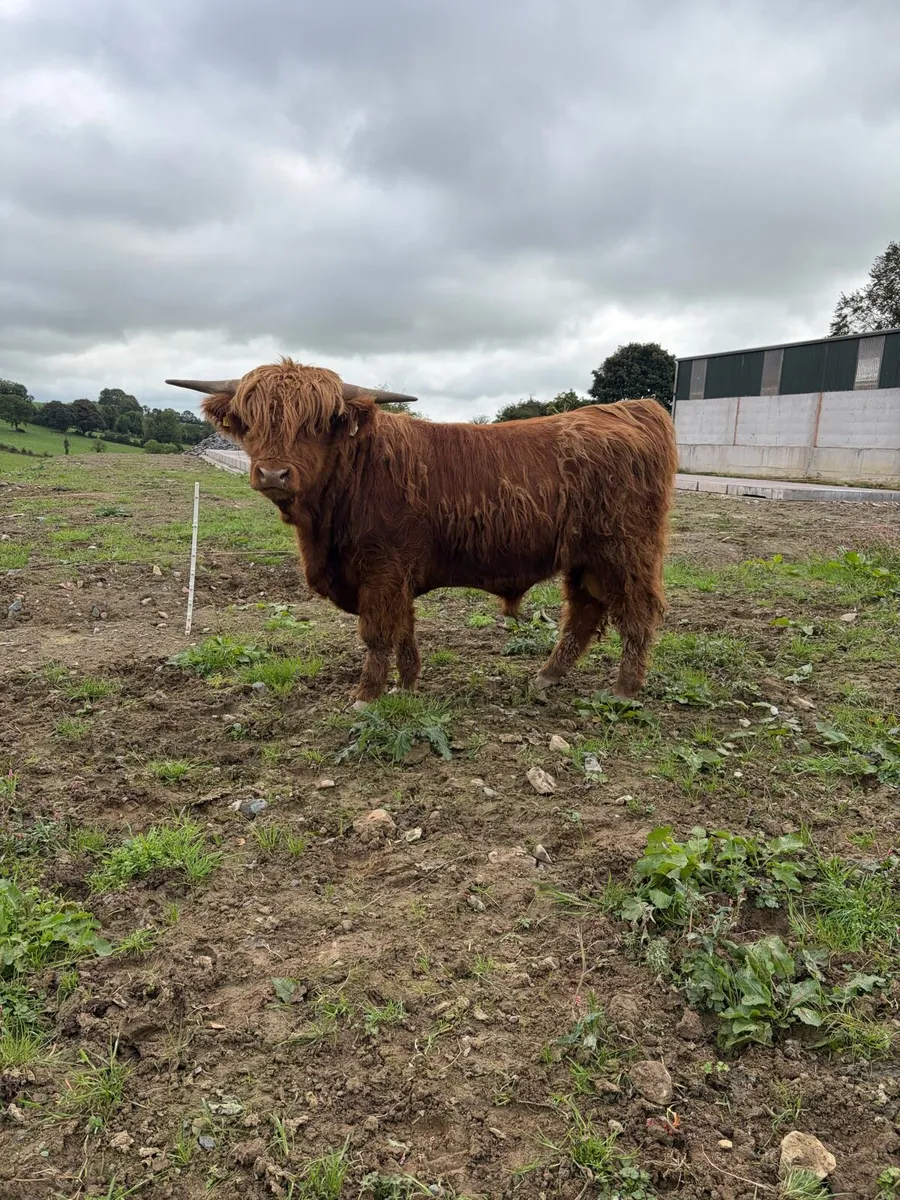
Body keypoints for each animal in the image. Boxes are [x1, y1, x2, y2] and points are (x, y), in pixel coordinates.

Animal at [167, 360, 678, 706]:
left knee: (636, 612)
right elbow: (404, 630)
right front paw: (408, 685)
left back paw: (624, 689)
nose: (272, 473)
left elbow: (377, 634)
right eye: (252, 422)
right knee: (584, 613)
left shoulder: (381, 570)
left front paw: (366, 696)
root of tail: (629, 409)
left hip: (626, 552)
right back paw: (546, 676)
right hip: (584, 558)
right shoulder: (396, 575)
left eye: (314, 424)